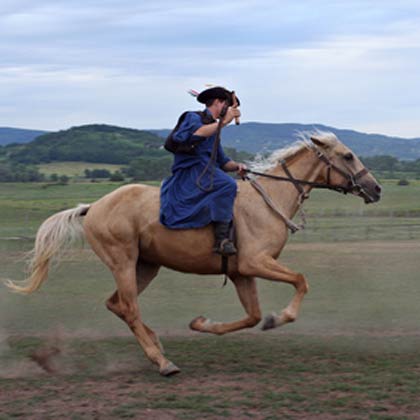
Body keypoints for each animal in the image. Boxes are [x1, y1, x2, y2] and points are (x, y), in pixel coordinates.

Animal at [4, 131, 382, 374]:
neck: (268, 200)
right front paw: (280, 318)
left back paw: (156, 344)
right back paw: (161, 362)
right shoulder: (256, 263)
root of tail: (93, 206)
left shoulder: (241, 273)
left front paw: (202, 323)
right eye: (348, 156)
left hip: (146, 266)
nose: (375, 189)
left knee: (118, 305)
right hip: (124, 262)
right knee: (128, 307)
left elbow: (251, 316)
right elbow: (301, 281)